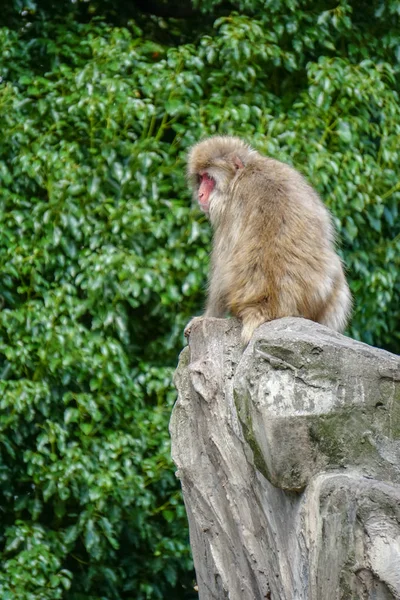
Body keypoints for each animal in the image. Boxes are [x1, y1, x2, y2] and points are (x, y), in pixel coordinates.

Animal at [184, 134, 350, 344]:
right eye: (200, 178)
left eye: (208, 178)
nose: (200, 194)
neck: (241, 175)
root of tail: (265, 306)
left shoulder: (226, 213)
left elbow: (220, 271)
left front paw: (207, 316)